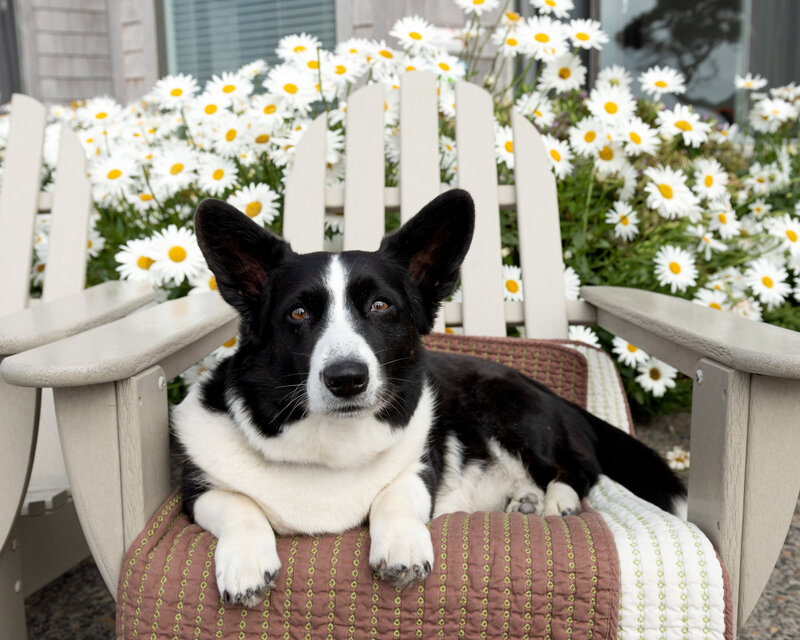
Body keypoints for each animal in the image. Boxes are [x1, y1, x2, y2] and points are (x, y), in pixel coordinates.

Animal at [177, 189, 688, 604]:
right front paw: (246, 566)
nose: (347, 379)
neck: (331, 446)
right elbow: (239, 505)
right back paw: (524, 499)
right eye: (298, 313)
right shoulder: (198, 493)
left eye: (381, 306)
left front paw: (402, 547)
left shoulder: (419, 469)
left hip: (510, 410)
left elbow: (395, 496)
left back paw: (557, 500)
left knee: (578, 468)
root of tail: (543, 388)